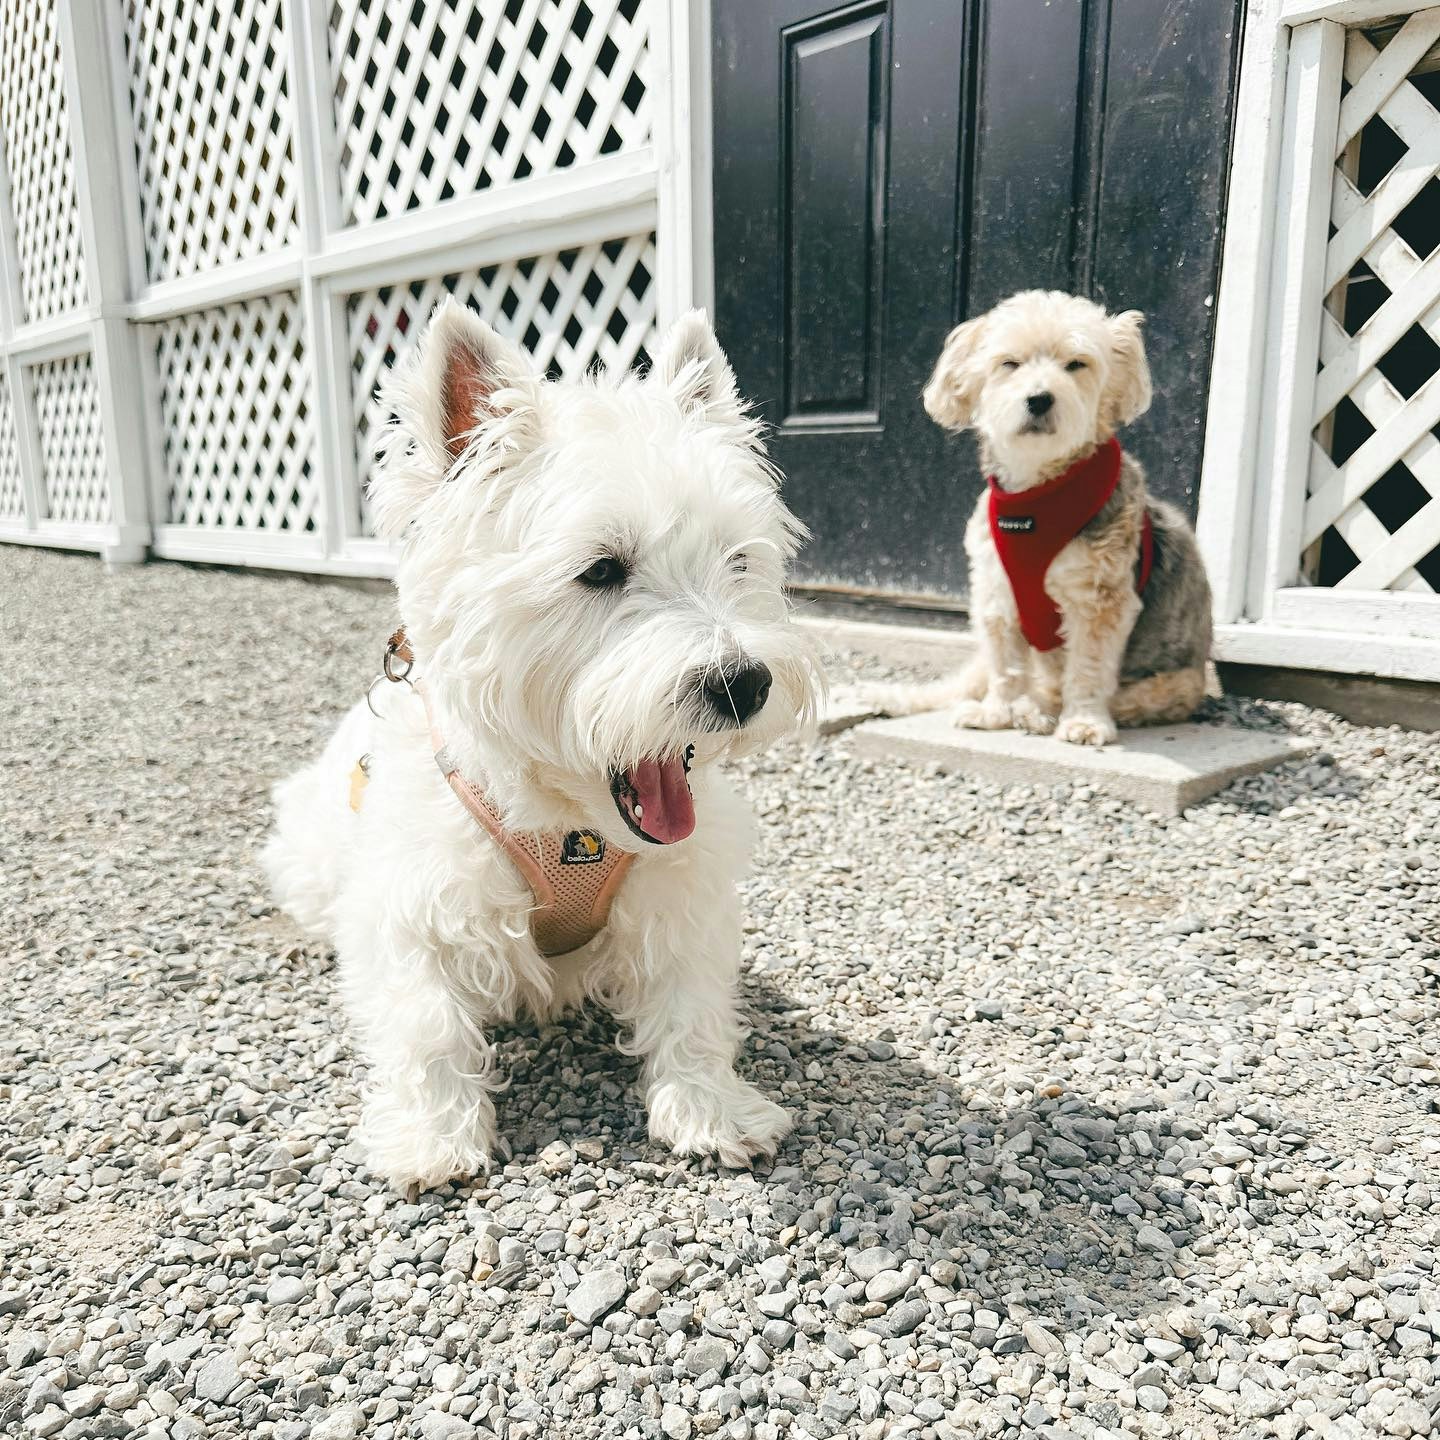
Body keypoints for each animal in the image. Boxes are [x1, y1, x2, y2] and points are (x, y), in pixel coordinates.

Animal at [263, 303, 817, 1192]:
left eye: (738, 559)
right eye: (602, 569)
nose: (744, 684)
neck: (571, 823)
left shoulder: (680, 893)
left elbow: (691, 1003)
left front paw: (713, 1112)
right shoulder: (413, 905)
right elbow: (425, 1022)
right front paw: (431, 1139)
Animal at [869, 288, 1209, 748]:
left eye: (1076, 364)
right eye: (1010, 363)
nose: (1039, 399)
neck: (1036, 495)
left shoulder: (1100, 600)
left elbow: (1088, 668)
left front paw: (1083, 721)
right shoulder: (996, 595)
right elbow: (1005, 666)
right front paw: (997, 713)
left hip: (1171, 685)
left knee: (1104, 695)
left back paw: (1041, 711)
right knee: (956, 686)